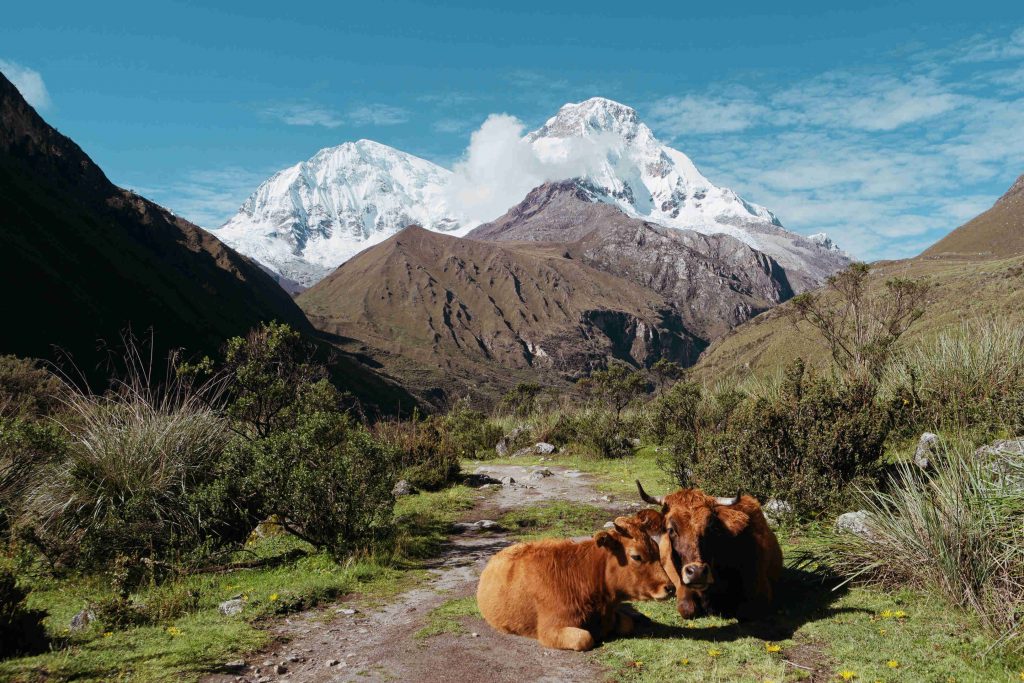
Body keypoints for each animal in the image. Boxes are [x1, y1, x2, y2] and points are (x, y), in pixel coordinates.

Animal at [477, 511, 675, 651]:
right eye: (636, 556)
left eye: (657, 549)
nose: (670, 588)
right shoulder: (549, 630)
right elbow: (584, 638)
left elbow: (626, 623)